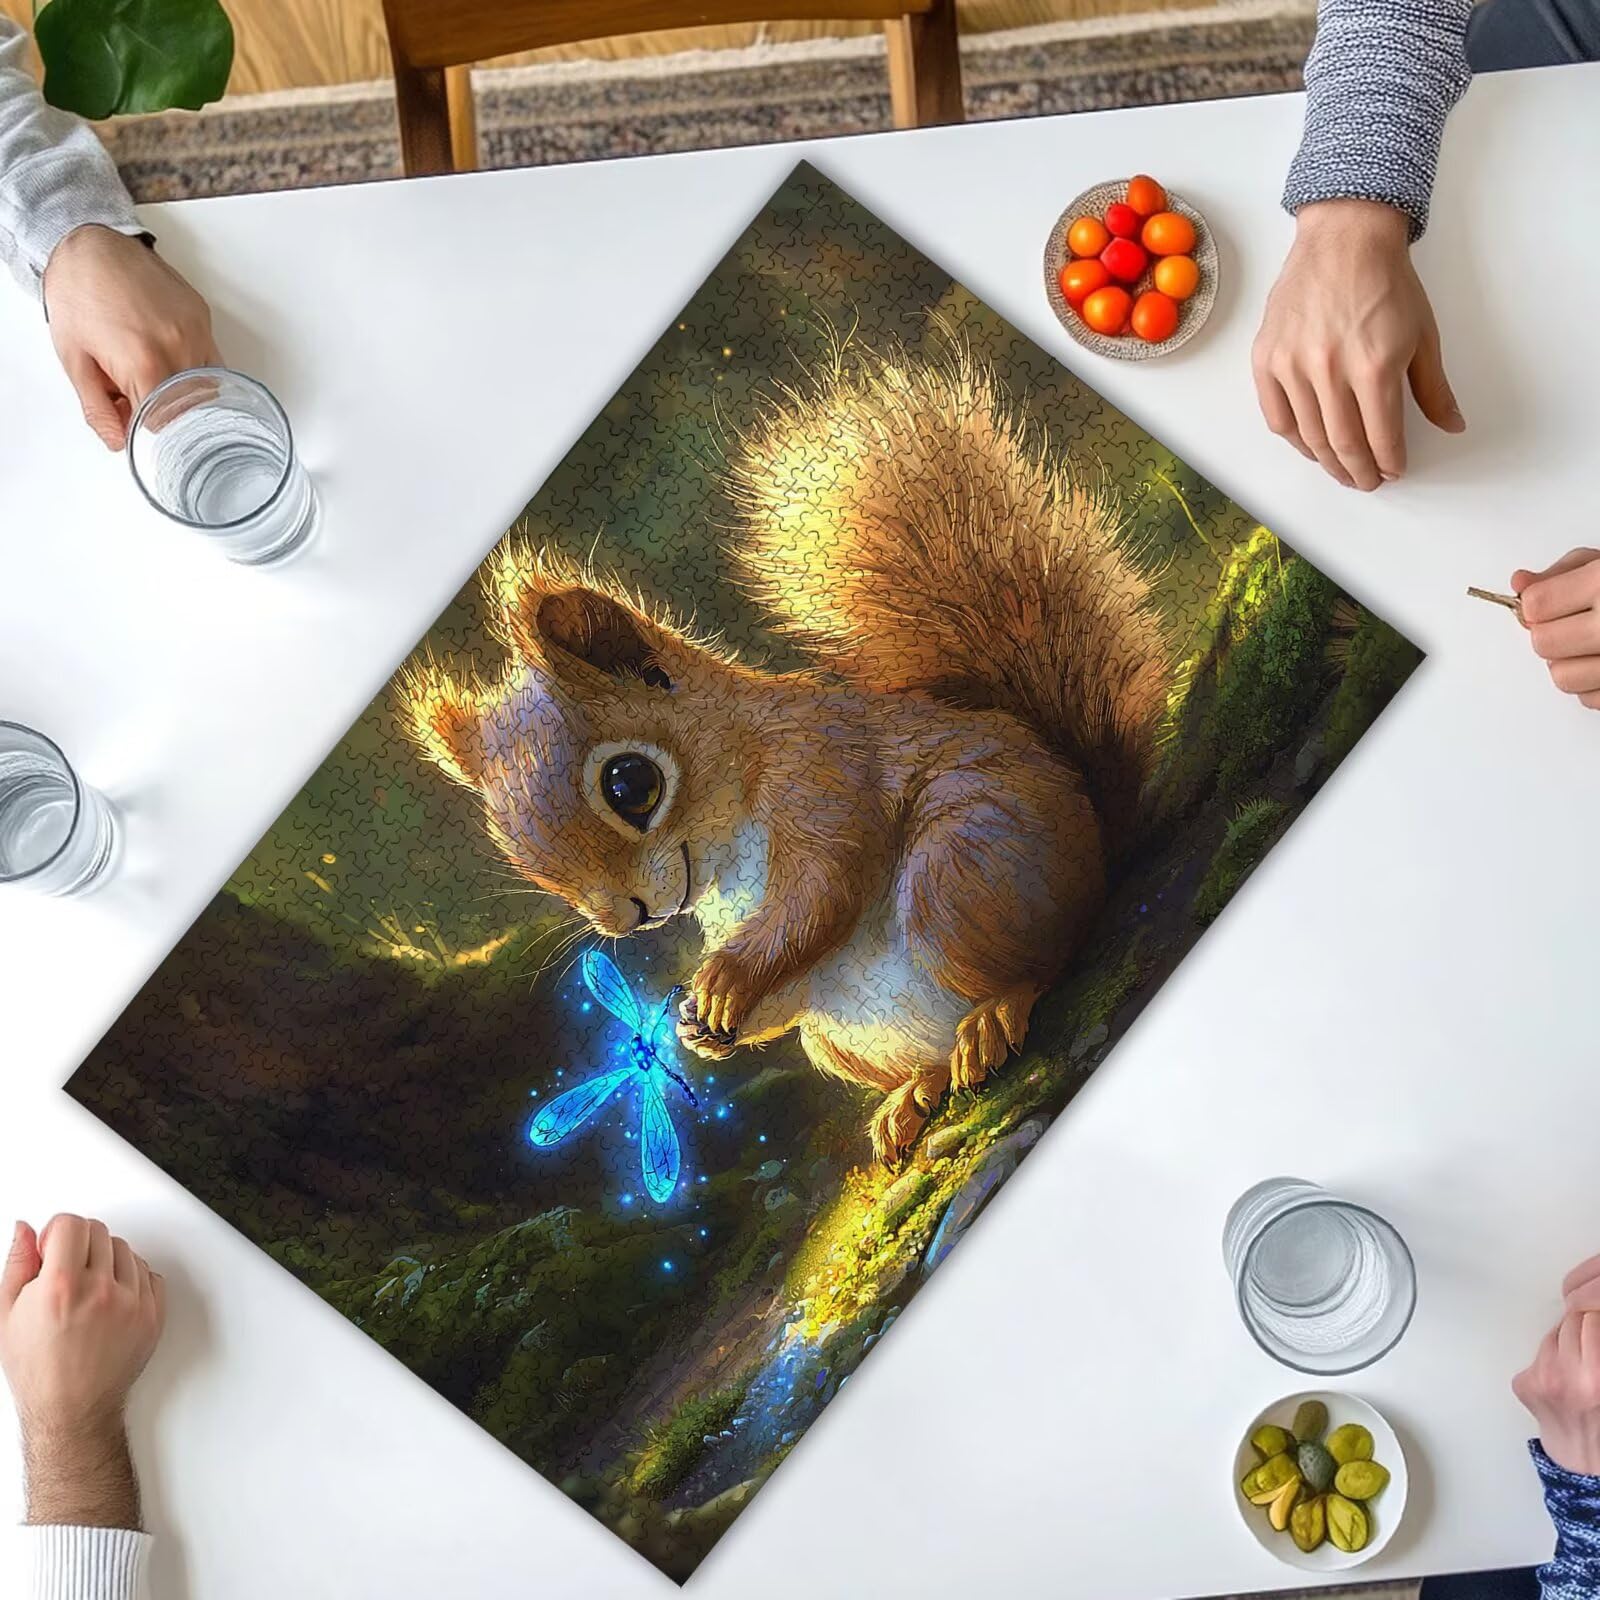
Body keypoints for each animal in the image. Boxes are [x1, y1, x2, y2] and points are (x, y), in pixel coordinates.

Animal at [401, 349, 1170, 1165]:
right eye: (517, 852)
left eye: (630, 783)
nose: (629, 919)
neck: (739, 774)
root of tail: (1100, 843)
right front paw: (699, 1026)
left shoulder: (824, 770)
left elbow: (824, 889)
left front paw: (724, 980)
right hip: (834, 1038)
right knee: (912, 1052)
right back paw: (910, 1096)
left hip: (969, 873)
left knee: (1050, 959)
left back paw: (994, 1017)